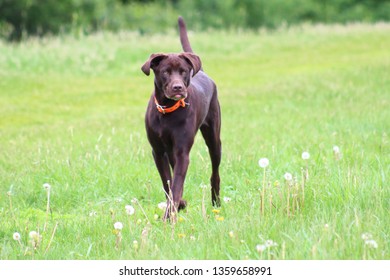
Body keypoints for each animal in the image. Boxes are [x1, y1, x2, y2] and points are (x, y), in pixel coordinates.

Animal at [141, 17, 221, 219]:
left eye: (184, 71)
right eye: (165, 72)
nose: (177, 87)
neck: (167, 111)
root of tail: (202, 72)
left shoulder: (182, 152)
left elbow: (176, 184)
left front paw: (169, 215)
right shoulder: (158, 152)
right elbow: (167, 183)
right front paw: (179, 205)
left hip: (214, 138)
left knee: (215, 171)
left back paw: (216, 201)